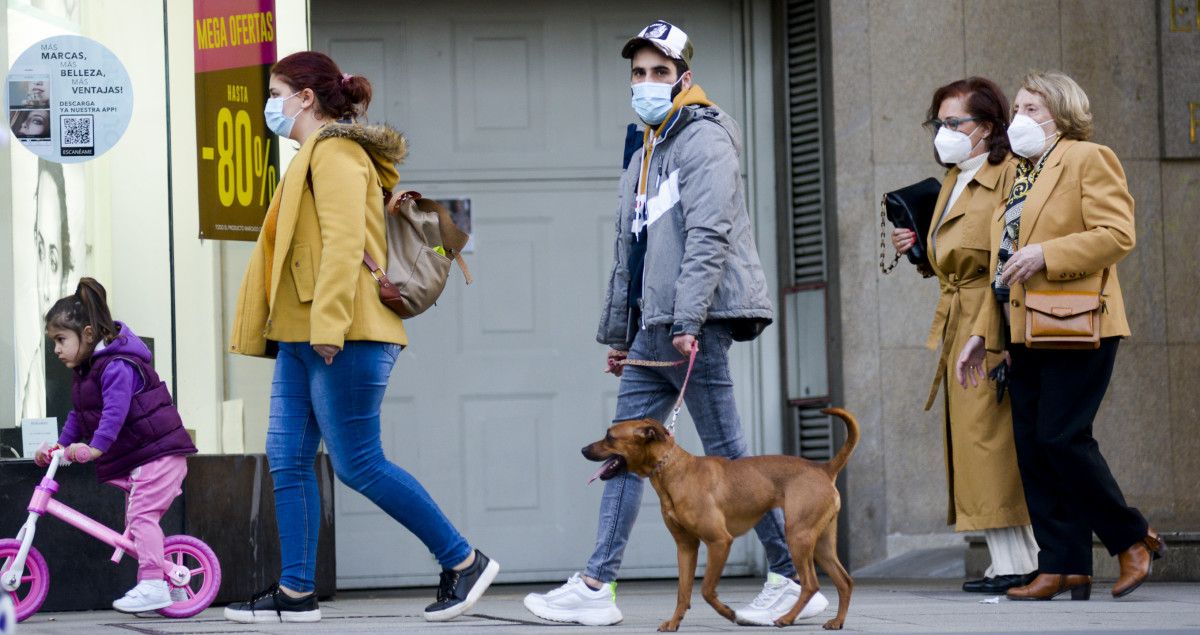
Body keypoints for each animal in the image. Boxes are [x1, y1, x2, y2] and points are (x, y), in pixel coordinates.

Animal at [583, 405, 859, 628]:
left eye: (609, 436)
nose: (583, 449)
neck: (673, 469)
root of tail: (823, 468)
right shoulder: (686, 547)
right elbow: (683, 592)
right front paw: (674, 622)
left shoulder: (719, 542)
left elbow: (706, 589)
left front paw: (728, 613)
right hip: (821, 544)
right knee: (844, 581)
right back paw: (837, 622)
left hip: (798, 538)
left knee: (811, 584)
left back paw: (787, 618)